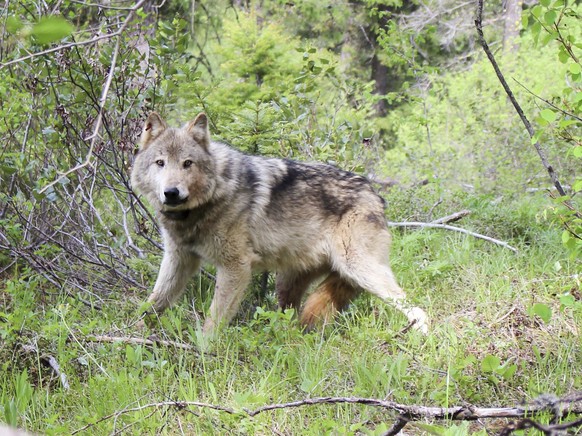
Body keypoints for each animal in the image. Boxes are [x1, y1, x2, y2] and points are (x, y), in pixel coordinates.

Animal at [131, 111, 428, 334]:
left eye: (187, 163)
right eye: (160, 163)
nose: (171, 192)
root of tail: (375, 194)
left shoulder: (236, 267)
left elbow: (213, 322)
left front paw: (204, 352)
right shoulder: (178, 259)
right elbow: (152, 303)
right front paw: (132, 334)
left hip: (360, 270)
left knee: (416, 307)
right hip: (288, 284)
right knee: (291, 319)